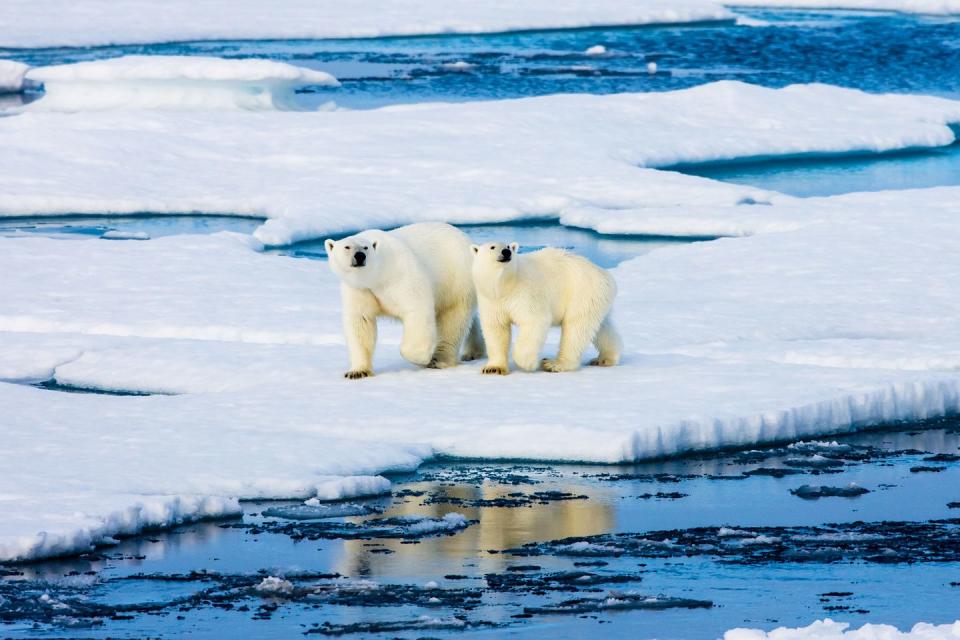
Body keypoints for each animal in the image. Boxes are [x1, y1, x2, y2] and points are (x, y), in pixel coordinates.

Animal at [326, 222, 484, 378]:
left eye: (366, 247)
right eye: (347, 247)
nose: (360, 256)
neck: (377, 276)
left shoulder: (400, 275)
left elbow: (416, 309)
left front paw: (423, 358)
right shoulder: (359, 289)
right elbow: (361, 322)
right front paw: (357, 371)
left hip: (456, 280)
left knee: (452, 319)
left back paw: (439, 360)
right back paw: (473, 352)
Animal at [472, 241, 624, 376]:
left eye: (508, 246)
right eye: (492, 247)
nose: (506, 252)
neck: (505, 286)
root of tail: (606, 275)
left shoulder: (525, 292)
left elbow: (535, 320)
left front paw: (529, 364)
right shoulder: (492, 300)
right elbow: (496, 328)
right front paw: (493, 368)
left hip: (582, 292)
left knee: (575, 328)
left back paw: (554, 364)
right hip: (597, 298)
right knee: (601, 327)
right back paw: (605, 358)